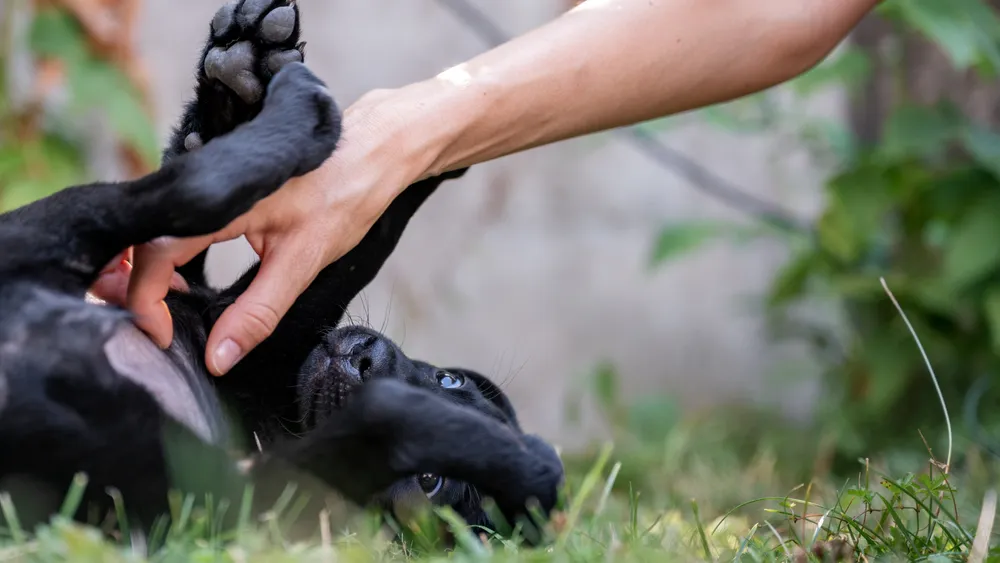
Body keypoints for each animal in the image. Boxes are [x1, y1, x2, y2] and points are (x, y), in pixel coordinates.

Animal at [0, 0, 564, 544]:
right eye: (449, 379)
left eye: (432, 483)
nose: (368, 359)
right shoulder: (254, 336)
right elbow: (358, 244)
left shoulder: (266, 496)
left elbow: (378, 423)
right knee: (190, 189)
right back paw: (251, 73)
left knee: (193, 192)